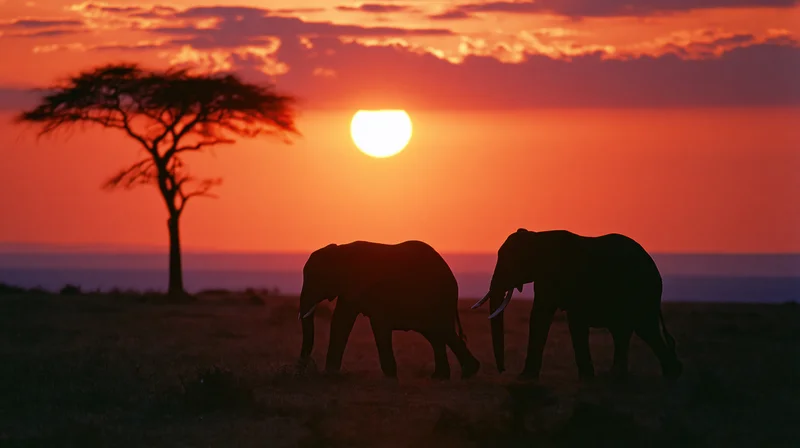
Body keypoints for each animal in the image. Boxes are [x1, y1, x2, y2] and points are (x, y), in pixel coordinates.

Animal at [298, 240, 481, 380]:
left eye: (317, 278)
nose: (302, 370)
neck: (341, 251)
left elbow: (377, 324)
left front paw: (391, 376)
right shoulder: (349, 290)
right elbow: (341, 321)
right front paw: (330, 373)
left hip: (439, 299)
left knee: (441, 330)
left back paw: (463, 373)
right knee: (436, 334)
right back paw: (446, 376)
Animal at [472, 228, 683, 381]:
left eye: (513, 262)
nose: (503, 370)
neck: (538, 236)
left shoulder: (571, 278)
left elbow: (574, 320)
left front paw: (587, 378)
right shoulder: (545, 278)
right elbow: (540, 316)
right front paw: (526, 378)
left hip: (641, 290)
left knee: (641, 329)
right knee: (630, 331)